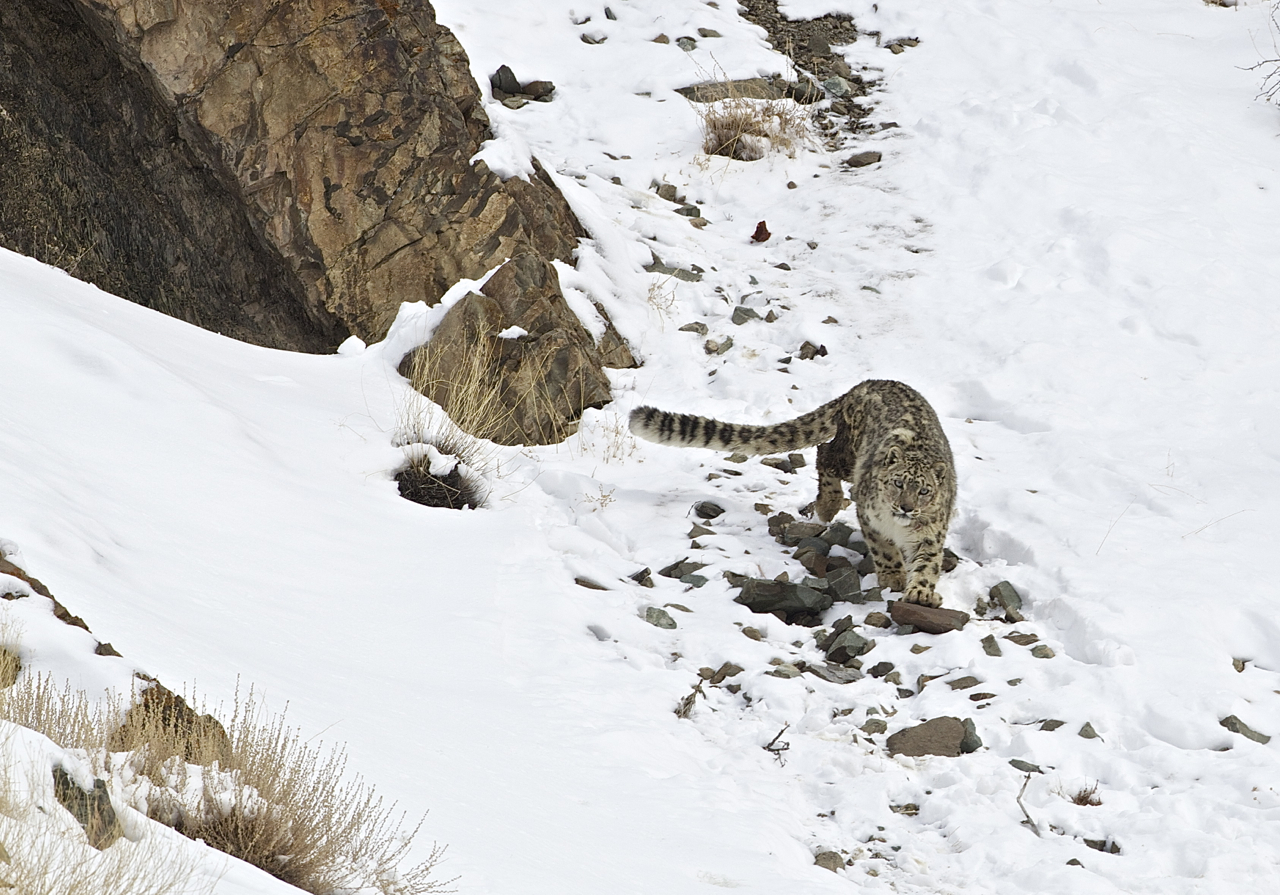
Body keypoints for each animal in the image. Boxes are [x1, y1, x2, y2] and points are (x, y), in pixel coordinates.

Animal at [634, 378, 957, 609]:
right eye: (898, 483)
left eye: (924, 490)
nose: (905, 507)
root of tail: (866, 384)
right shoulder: (870, 518)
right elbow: (884, 549)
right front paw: (893, 575)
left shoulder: (931, 532)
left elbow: (928, 563)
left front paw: (920, 593)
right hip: (847, 455)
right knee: (824, 453)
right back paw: (827, 505)